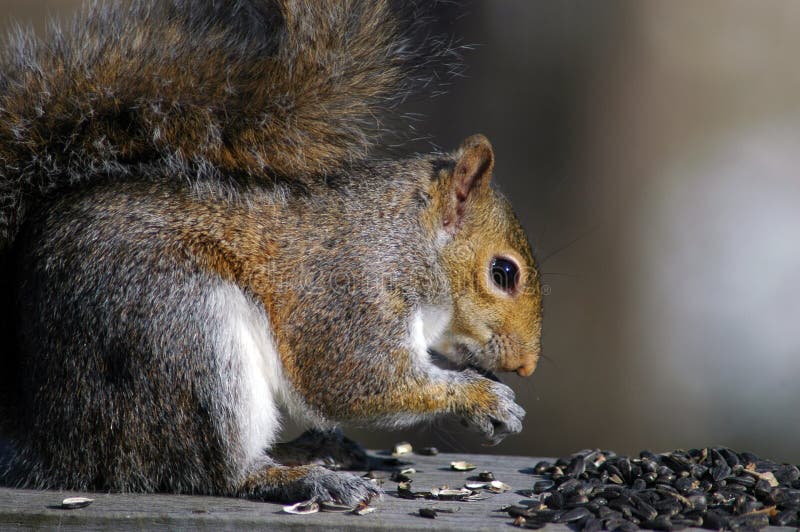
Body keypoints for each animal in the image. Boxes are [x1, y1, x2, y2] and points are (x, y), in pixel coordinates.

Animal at [0, 0, 542, 505]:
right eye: (503, 272)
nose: (527, 367)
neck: (407, 236)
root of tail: (49, 441)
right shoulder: (354, 290)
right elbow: (356, 380)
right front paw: (485, 398)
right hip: (180, 332)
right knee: (211, 471)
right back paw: (304, 478)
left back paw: (311, 450)